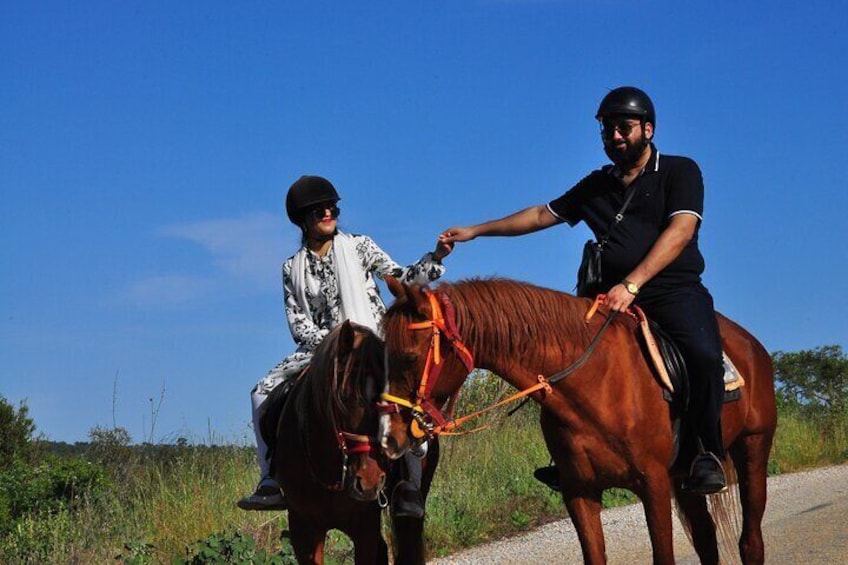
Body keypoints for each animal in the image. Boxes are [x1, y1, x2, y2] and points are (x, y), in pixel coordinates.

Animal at [380, 278, 780, 564]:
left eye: (409, 356)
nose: (389, 438)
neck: (595, 380)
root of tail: (751, 346)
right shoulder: (580, 492)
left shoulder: (653, 483)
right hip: (684, 479)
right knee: (707, 541)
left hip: (752, 450)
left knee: (750, 542)